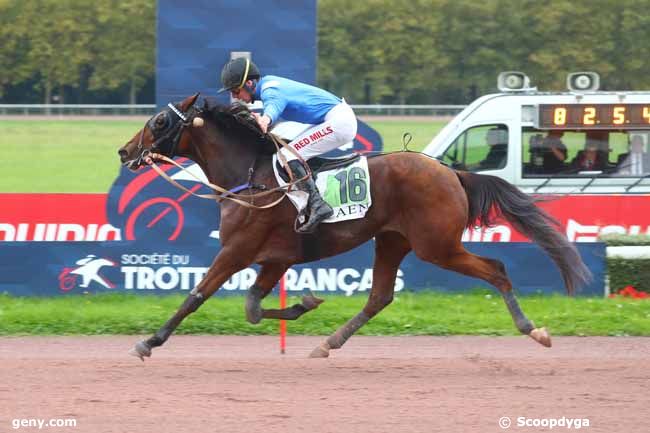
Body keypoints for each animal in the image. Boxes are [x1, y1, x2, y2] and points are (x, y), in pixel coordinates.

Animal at [119, 93, 588, 358]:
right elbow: (252, 308)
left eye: (159, 122)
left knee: (496, 269)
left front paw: (149, 342)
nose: (125, 152)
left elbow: (195, 296)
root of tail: (450, 171)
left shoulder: (237, 251)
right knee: (379, 297)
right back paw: (327, 344)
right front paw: (306, 303)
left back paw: (533, 330)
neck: (251, 176)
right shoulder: (276, 257)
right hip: (392, 240)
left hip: (436, 245)